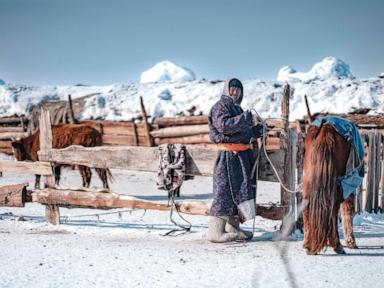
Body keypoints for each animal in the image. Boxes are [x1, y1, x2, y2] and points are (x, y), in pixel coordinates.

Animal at [304, 124, 356, 254]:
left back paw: (307, 244)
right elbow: (348, 210)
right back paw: (337, 245)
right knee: (333, 210)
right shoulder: (348, 186)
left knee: (307, 208)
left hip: (308, 180)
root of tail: (327, 129)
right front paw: (350, 241)